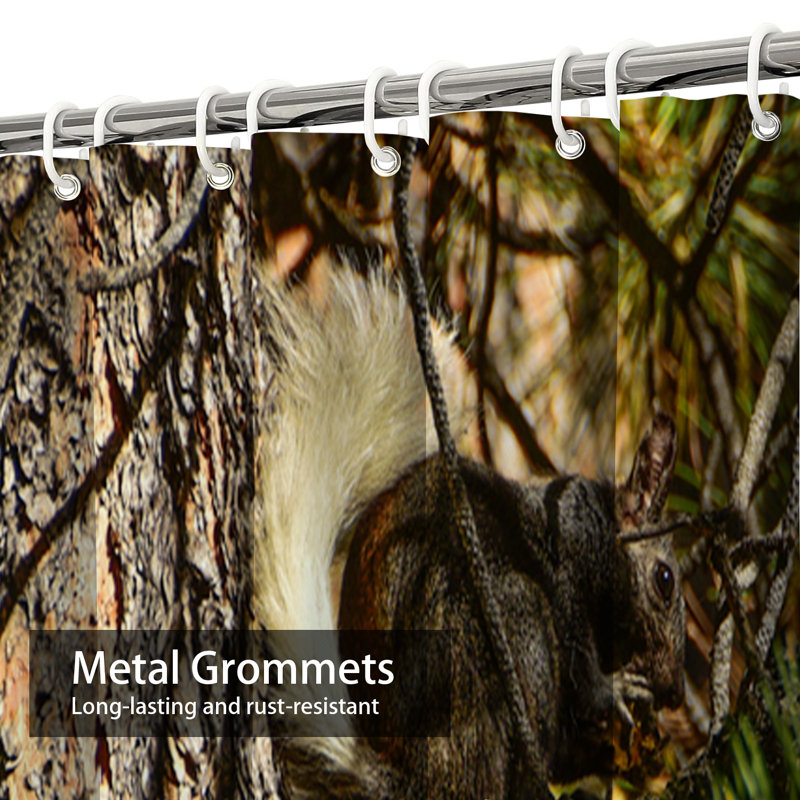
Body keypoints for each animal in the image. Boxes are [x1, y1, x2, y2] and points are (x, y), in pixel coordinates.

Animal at [256, 265, 686, 800]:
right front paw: (618, 691)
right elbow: (584, 674)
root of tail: (419, 783)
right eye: (664, 580)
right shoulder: (569, 573)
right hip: (509, 625)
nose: (676, 693)